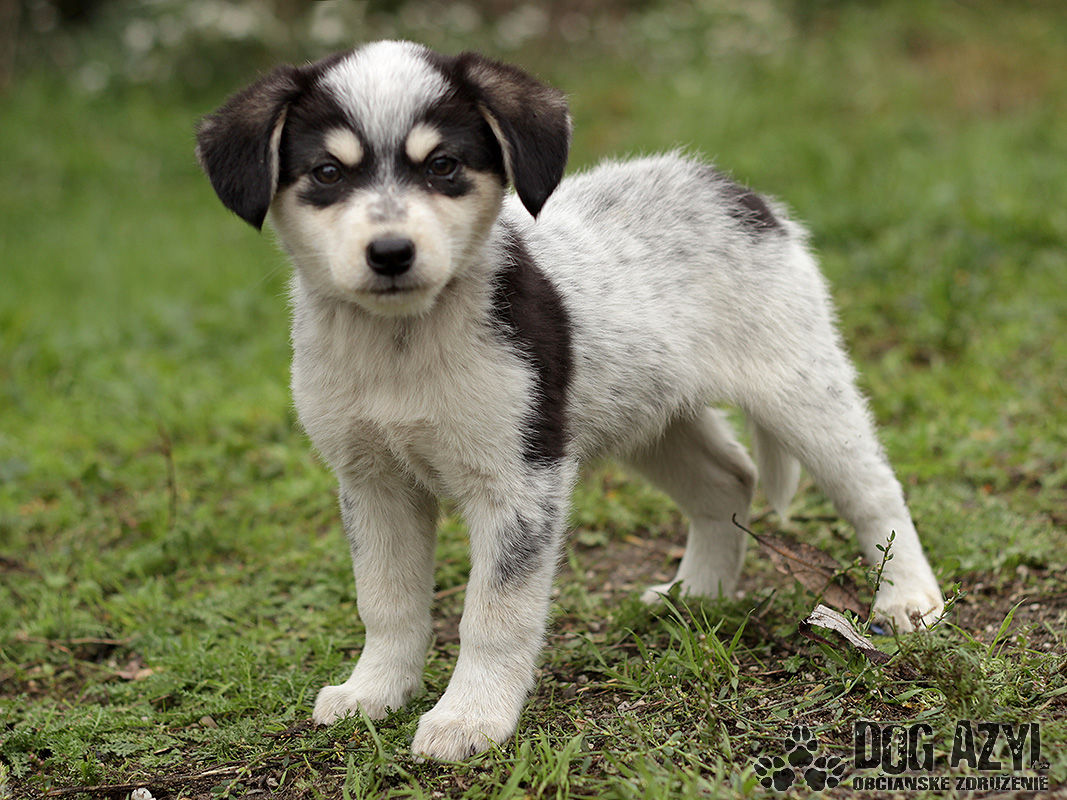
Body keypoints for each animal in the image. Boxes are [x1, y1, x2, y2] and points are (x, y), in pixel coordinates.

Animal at [196, 40, 944, 761]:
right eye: (327, 173)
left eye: (443, 166)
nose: (390, 253)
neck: (400, 343)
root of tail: (732, 189)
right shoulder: (371, 480)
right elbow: (386, 602)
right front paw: (374, 692)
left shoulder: (522, 477)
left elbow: (494, 614)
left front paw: (470, 719)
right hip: (647, 414)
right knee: (729, 478)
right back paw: (697, 596)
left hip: (800, 386)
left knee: (874, 491)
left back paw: (910, 601)